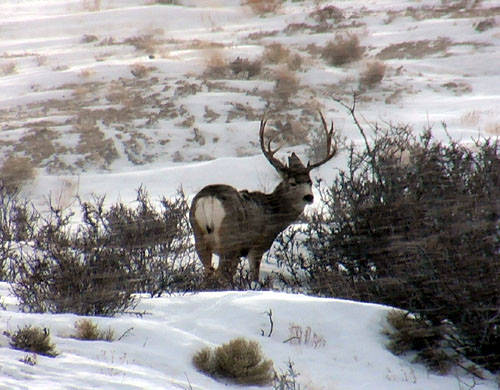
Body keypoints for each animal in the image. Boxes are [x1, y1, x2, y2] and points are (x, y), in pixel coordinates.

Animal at [189, 112, 338, 284]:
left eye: (310, 181)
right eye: (293, 182)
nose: (309, 197)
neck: (273, 213)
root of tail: (210, 197)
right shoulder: (257, 246)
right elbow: (254, 277)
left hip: (199, 236)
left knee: (208, 273)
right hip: (229, 240)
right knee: (220, 275)